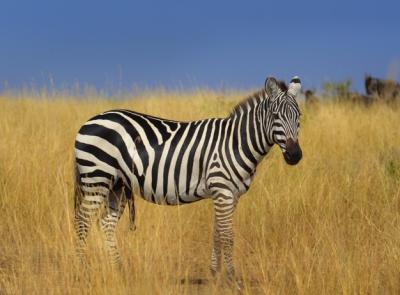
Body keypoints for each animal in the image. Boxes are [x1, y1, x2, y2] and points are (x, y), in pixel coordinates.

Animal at [73, 75, 302, 290]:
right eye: (275, 116)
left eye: (299, 116)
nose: (295, 155)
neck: (236, 143)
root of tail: (89, 121)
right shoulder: (223, 190)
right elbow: (228, 235)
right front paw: (232, 279)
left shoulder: (230, 194)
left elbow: (217, 232)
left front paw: (215, 274)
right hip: (97, 178)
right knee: (82, 222)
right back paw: (84, 272)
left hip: (116, 185)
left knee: (106, 224)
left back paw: (119, 271)